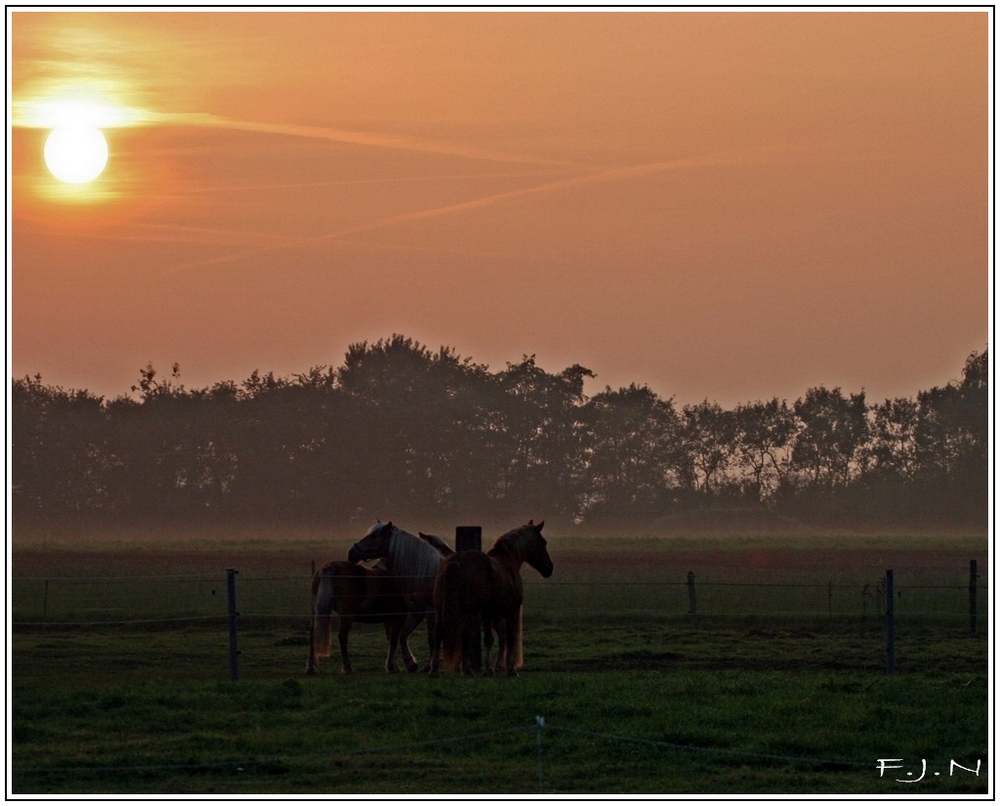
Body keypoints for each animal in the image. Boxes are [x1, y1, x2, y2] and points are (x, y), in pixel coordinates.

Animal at [348, 520, 450, 672]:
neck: (426, 573)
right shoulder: (417, 613)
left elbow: (432, 640)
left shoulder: (430, 613)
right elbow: (402, 635)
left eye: (373, 536)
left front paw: (430, 666)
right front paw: (411, 663)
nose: (351, 553)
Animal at [430, 520, 556, 680]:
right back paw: (467, 669)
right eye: (543, 542)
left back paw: (434, 670)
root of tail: (455, 562)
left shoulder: (488, 613)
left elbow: (489, 639)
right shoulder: (512, 611)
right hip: (470, 612)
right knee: (465, 635)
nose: (549, 568)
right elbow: (510, 638)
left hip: (442, 610)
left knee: (438, 634)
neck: (508, 562)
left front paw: (489, 669)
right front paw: (510, 670)